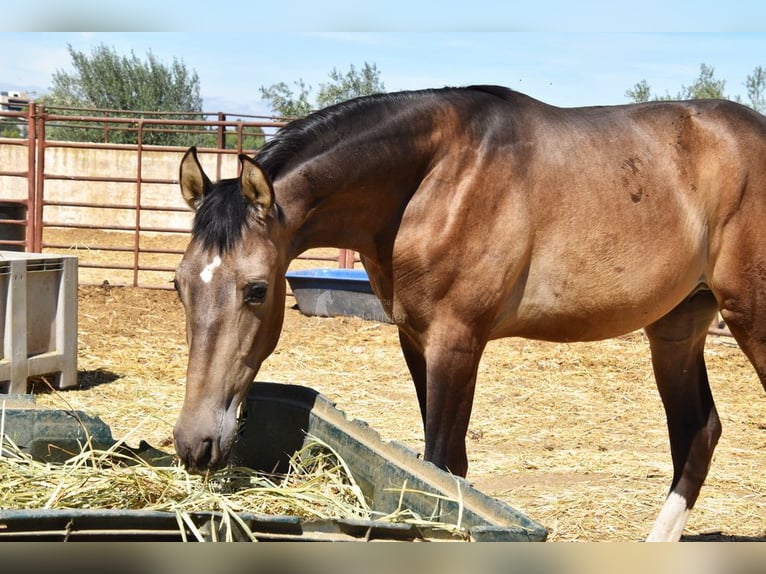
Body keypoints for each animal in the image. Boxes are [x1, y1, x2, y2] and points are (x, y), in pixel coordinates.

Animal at [171, 83, 766, 544]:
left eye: (256, 290)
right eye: (179, 285)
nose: (195, 444)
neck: (437, 178)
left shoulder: (456, 343)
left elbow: (436, 463)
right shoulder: (417, 341)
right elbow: (448, 468)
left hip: (750, 320)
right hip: (676, 329)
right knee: (698, 431)